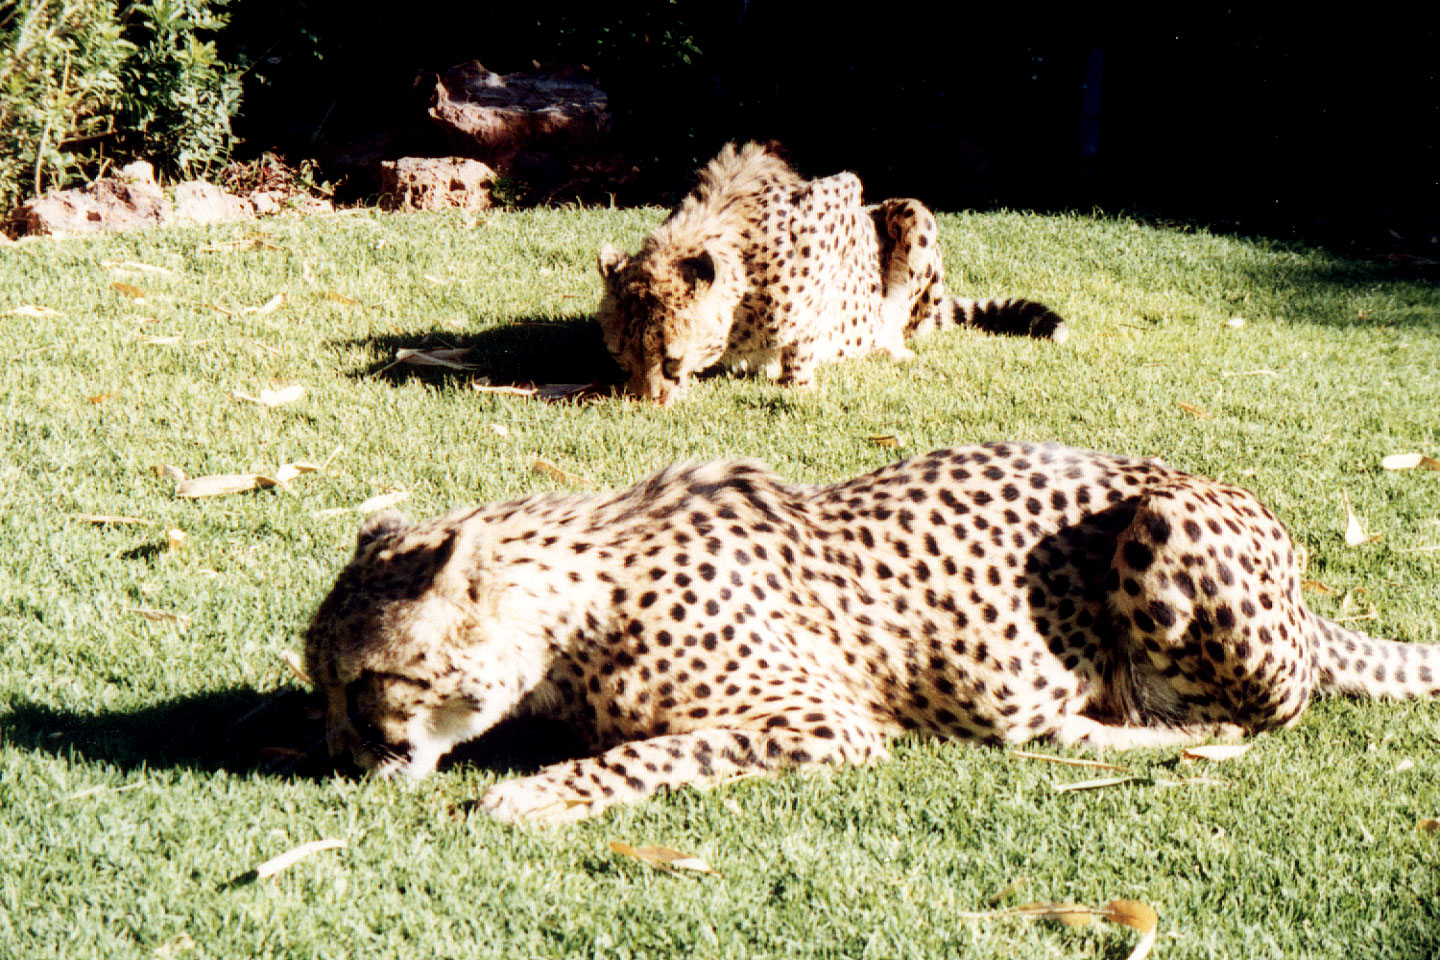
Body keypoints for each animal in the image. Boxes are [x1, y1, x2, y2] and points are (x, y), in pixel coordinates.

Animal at [303, 443, 1440, 829]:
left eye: (363, 683)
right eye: (315, 686)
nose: (337, 757)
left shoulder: (824, 722)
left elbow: (653, 754)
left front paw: (529, 795)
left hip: (1166, 527)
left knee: (1256, 718)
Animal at [593, 145, 1071, 405]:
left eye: (671, 361)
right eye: (620, 356)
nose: (647, 401)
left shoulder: (842, 197)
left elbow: (810, 318)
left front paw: (797, 381)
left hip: (912, 214)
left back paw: (889, 345)